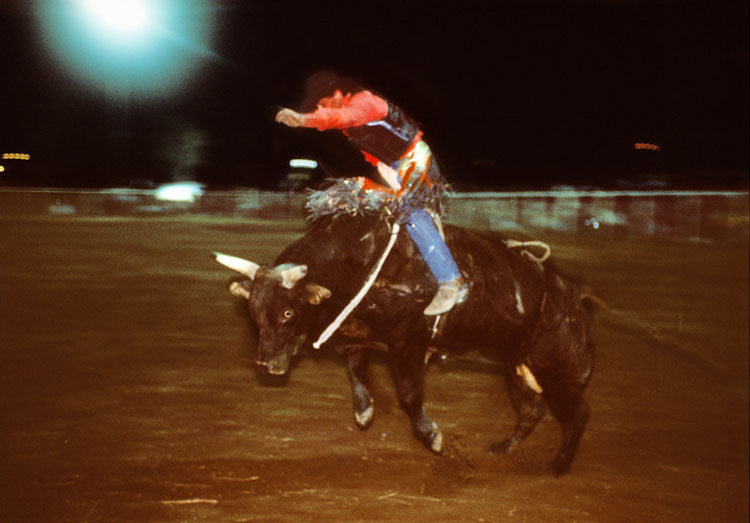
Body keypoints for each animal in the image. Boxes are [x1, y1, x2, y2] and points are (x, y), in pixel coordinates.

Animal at [214, 215, 596, 476]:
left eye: (288, 312)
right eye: (253, 311)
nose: (265, 363)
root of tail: (574, 295)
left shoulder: (408, 344)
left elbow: (410, 396)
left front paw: (433, 438)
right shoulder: (354, 340)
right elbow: (357, 376)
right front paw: (365, 412)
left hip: (558, 371)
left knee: (576, 414)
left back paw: (559, 465)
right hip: (517, 368)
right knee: (531, 410)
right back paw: (504, 448)